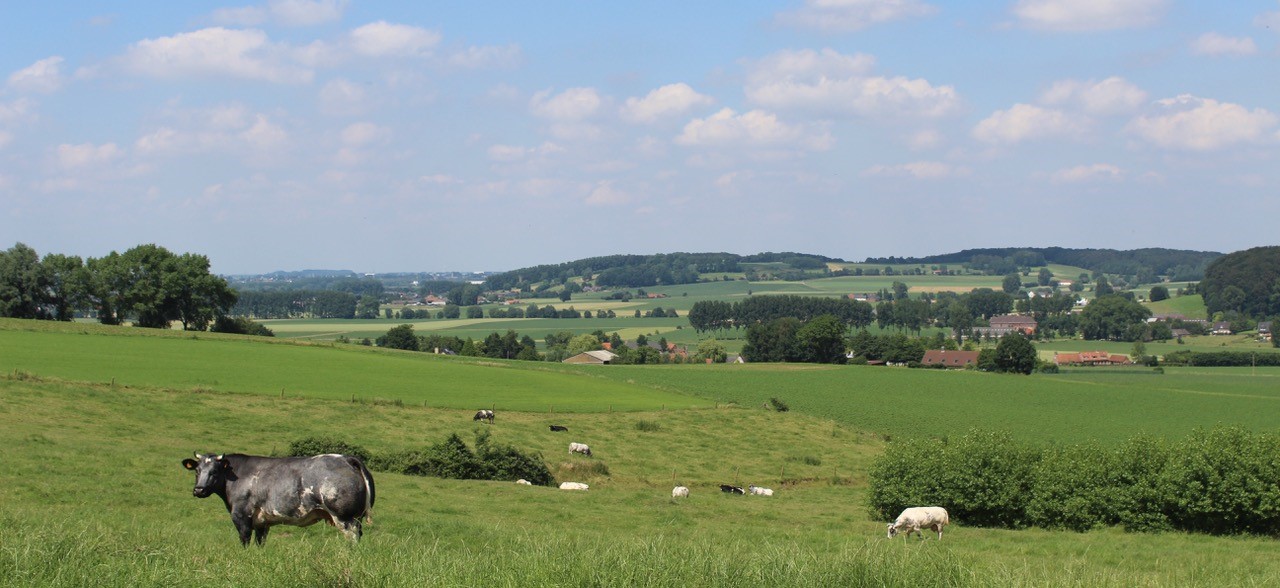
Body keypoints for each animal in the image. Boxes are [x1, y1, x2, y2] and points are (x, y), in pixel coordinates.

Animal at [179, 456, 373, 548]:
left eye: (215, 471)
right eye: (197, 470)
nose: (199, 490)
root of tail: (346, 458)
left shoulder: (241, 516)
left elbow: (244, 540)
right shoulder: (262, 523)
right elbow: (259, 543)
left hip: (345, 518)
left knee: (352, 538)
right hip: (356, 518)